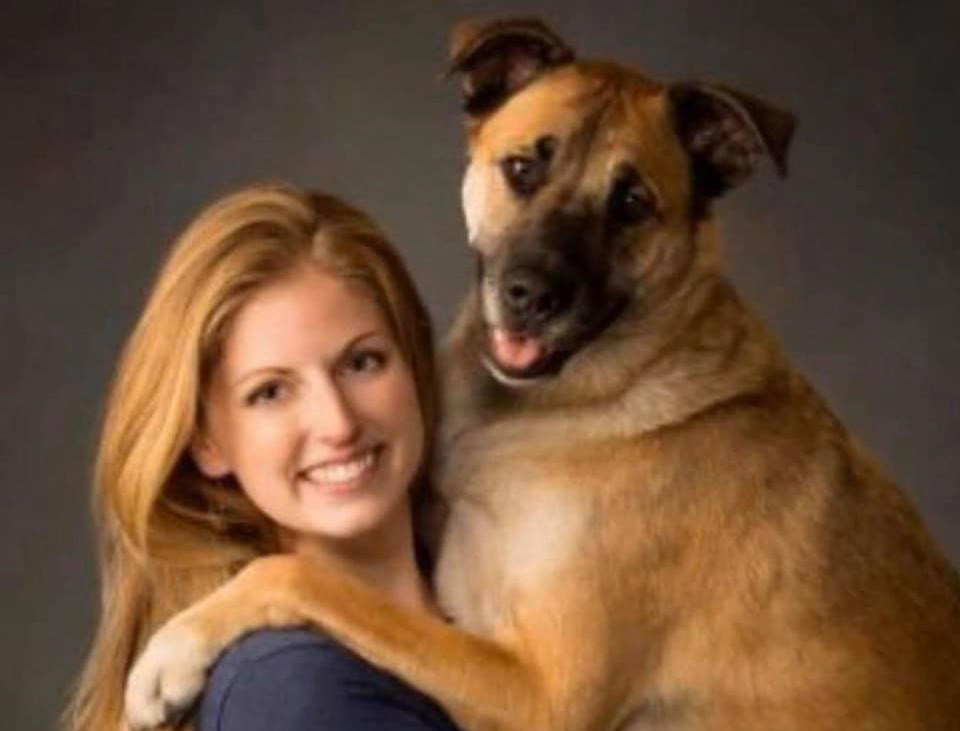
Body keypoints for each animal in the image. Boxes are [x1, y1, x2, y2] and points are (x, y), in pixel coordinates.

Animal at [127, 17, 960, 731]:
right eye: (523, 166)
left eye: (632, 204)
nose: (531, 295)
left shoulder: (541, 693)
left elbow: (304, 577)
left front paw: (171, 651)